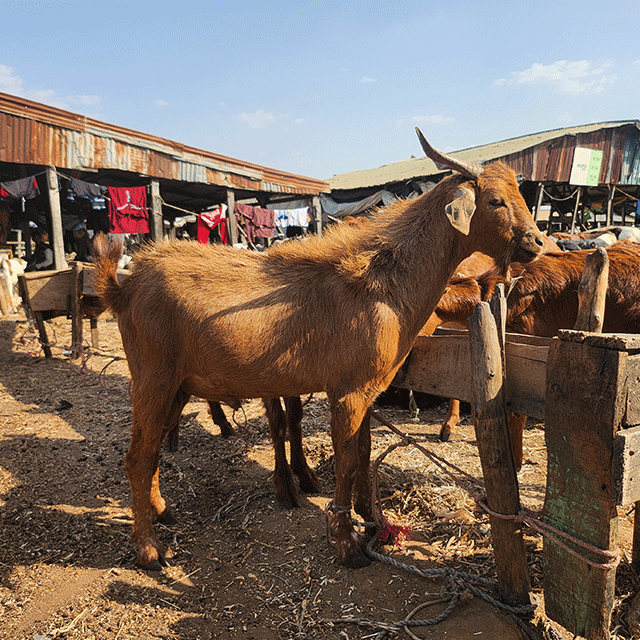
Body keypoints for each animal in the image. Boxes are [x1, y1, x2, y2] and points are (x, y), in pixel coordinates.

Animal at [91, 129, 544, 570]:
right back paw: (149, 550)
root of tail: (125, 286)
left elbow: (363, 451)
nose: (537, 241)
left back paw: (162, 511)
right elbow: (345, 460)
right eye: (495, 200)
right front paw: (347, 545)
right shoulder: (346, 392)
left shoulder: (367, 390)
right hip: (152, 377)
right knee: (137, 456)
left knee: (151, 450)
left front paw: (372, 519)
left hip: (177, 384)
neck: (381, 286)